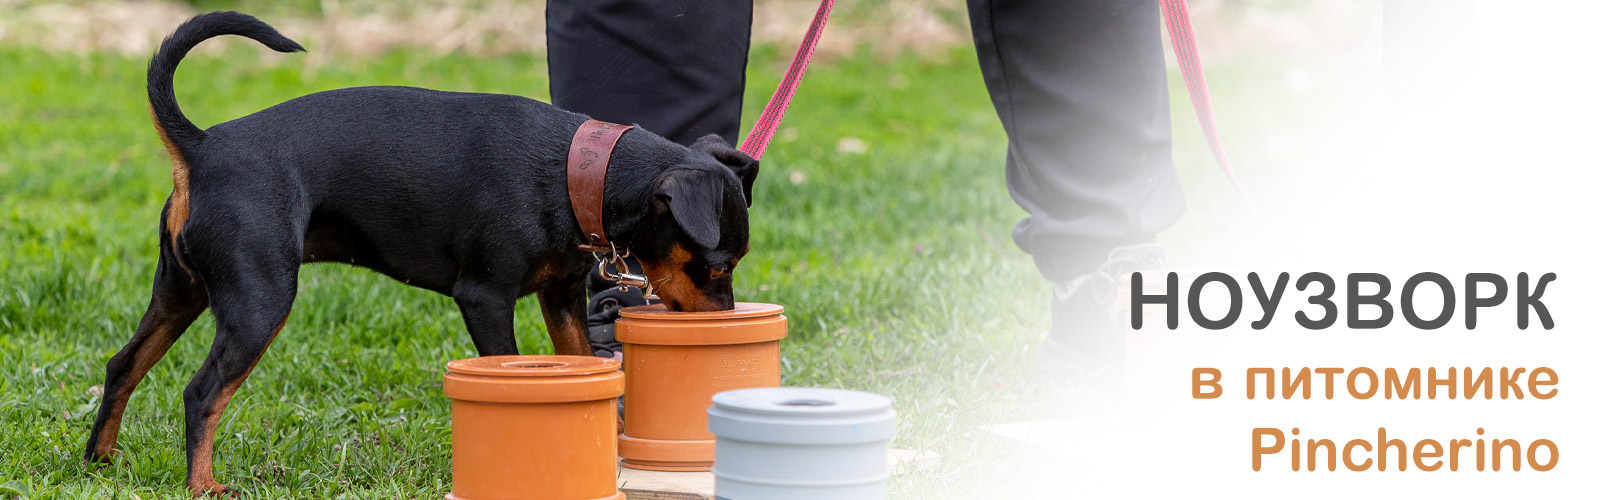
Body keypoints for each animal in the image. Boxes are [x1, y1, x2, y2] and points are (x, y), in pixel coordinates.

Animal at [84, 10, 758, 496]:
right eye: (717, 265)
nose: (725, 321)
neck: (578, 169)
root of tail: (200, 147)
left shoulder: (561, 297)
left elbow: (581, 366)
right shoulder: (485, 299)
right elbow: (507, 368)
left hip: (180, 293)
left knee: (122, 366)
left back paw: (100, 461)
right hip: (258, 303)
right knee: (201, 393)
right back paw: (202, 485)